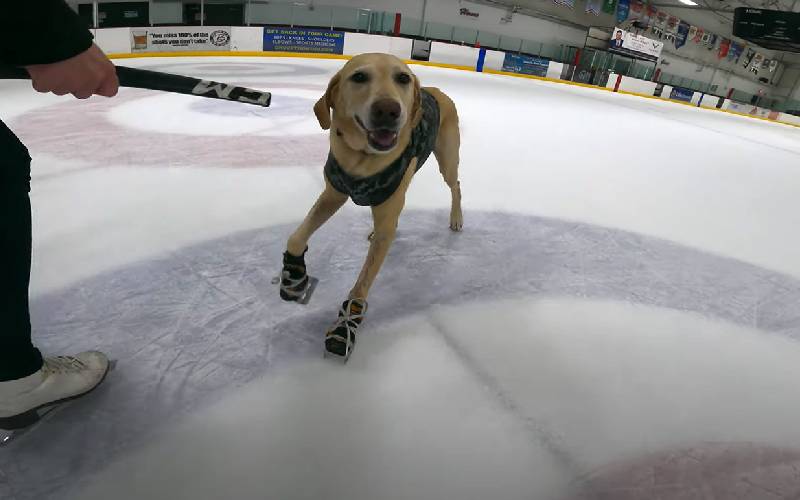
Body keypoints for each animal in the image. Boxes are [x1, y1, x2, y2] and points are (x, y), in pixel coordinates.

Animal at [278, 53, 462, 360]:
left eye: (403, 78)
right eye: (359, 77)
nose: (388, 110)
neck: (362, 159)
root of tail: (436, 91)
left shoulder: (386, 212)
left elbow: (362, 284)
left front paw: (344, 328)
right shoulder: (334, 194)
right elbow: (296, 236)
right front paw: (294, 275)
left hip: (447, 160)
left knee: (455, 185)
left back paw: (457, 218)